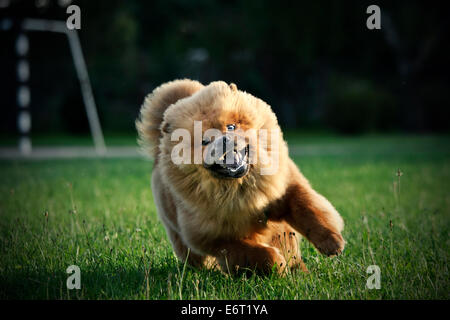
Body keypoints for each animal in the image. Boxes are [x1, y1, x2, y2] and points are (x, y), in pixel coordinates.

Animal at [136, 79, 344, 274]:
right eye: (204, 141)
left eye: (230, 126)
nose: (224, 141)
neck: (239, 187)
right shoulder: (217, 239)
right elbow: (257, 253)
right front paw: (278, 266)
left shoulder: (285, 187)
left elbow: (307, 207)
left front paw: (332, 243)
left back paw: (302, 272)